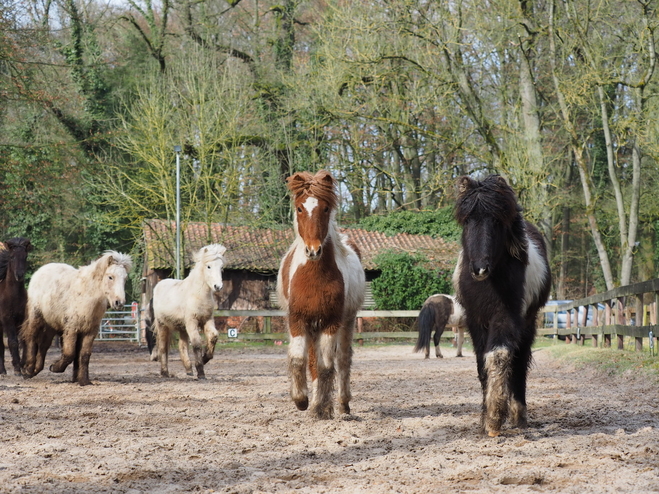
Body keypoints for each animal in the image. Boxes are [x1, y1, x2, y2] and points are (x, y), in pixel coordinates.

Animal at [20, 251, 132, 386]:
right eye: (110, 277)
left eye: (125, 278)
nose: (119, 302)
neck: (87, 296)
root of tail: (39, 272)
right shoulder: (72, 329)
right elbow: (69, 353)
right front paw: (55, 367)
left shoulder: (89, 332)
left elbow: (84, 355)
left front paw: (84, 380)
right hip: (36, 318)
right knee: (31, 338)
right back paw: (28, 370)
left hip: (51, 325)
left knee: (43, 345)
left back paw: (36, 369)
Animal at [153, 243, 227, 378]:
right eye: (208, 266)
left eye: (221, 267)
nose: (218, 286)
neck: (198, 295)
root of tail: (159, 285)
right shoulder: (192, 322)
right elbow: (197, 343)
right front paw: (201, 372)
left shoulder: (207, 320)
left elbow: (213, 336)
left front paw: (205, 358)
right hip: (163, 325)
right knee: (163, 347)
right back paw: (165, 372)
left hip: (182, 328)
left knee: (182, 346)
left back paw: (189, 370)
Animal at [274, 171, 366, 420]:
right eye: (299, 208)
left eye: (325, 208)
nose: (313, 250)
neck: (314, 277)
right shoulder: (297, 320)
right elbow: (299, 360)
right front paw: (301, 400)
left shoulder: (331, 322)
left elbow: (326, 367)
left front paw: (321, 408)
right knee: (313, 362)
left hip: (347, 321)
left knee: (342, 360)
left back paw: (343, 405)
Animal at [454, 176, 552, 438]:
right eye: (467, 220)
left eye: (497, 221)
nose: (479, 269)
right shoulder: (475, 321)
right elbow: (482, 362)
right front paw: (487, 416)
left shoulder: (506, 317)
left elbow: (498, 356)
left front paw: (495, 417)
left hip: (528, 323)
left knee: (519, 362)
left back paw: (519, 415)